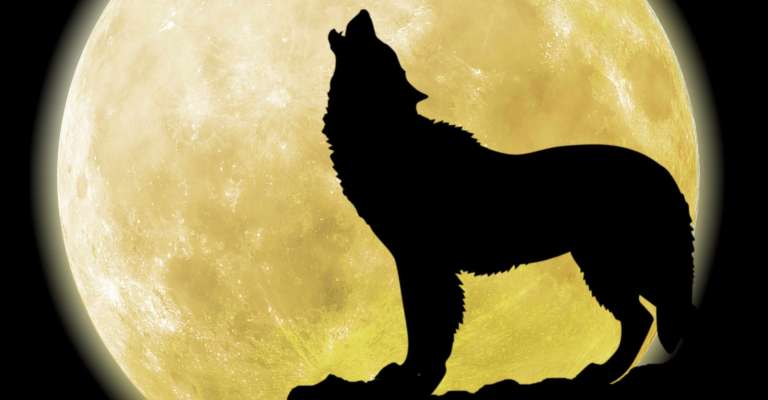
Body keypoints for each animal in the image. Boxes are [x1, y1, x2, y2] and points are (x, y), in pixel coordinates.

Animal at [323, 10, 694, 394]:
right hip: (609, 266)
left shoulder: (423, 262)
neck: (390, 139)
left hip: (621, 265)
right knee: (646, 318)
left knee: (663, 314)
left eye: (381, 49)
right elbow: (429, 329)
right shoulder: (418, 262)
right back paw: (600, 374)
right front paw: (420, 375)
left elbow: (427, 328)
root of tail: (666, 175)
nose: (364, 13)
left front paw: (416, 376)